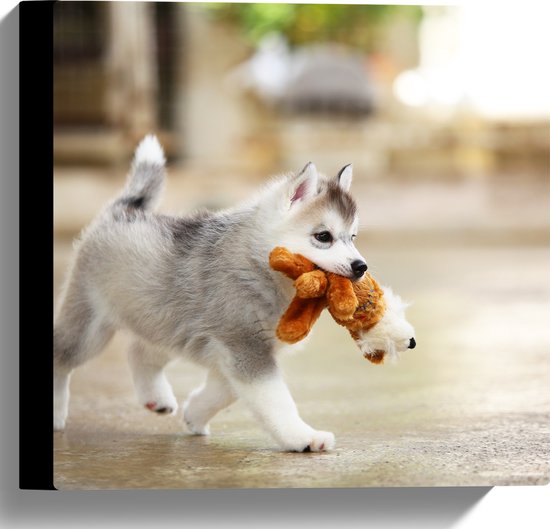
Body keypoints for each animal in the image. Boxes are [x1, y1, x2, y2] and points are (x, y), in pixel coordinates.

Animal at [54, 135, 370, 450]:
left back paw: (156, 398)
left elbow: (225, 391)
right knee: (62, 357)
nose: (361, 266)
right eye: (323, 237)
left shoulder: (238, 351)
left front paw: (194, 414)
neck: (259, 263)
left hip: (166, 324)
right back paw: (57, 412)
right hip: (90, 329)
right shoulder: (245, 346)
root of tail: (123, 212)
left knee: (139, 352)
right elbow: (276, 399)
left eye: (352, 237)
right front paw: (303, 437)